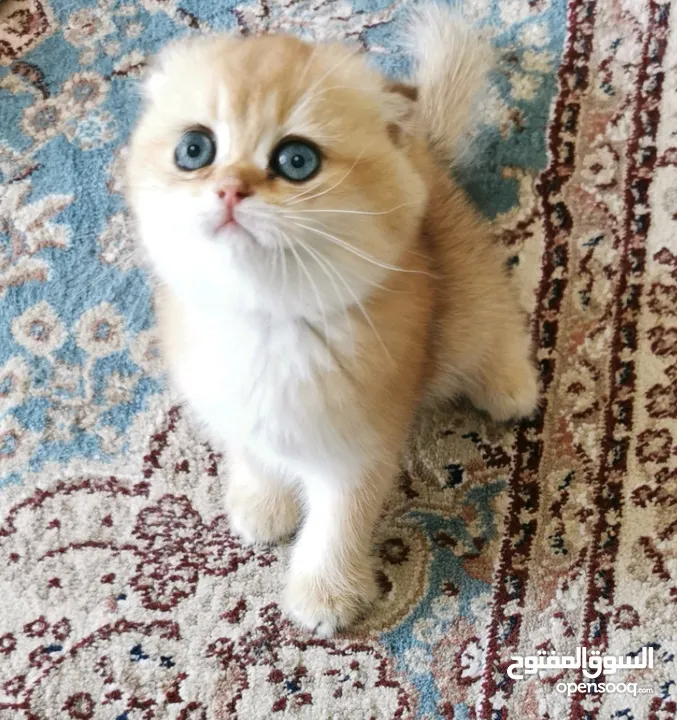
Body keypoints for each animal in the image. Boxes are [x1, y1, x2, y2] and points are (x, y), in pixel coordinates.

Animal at [127, 5, 540, 636]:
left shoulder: (360, 444)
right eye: (195, 150)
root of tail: (422, 155)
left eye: (296, 161)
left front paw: (324, 594)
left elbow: (338, 523)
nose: (229, 189)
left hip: (466, 298)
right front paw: (263, 502)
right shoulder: (229, 406)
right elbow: (255, 454)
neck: (266, 321)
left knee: (496, 321)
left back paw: (511, 386)